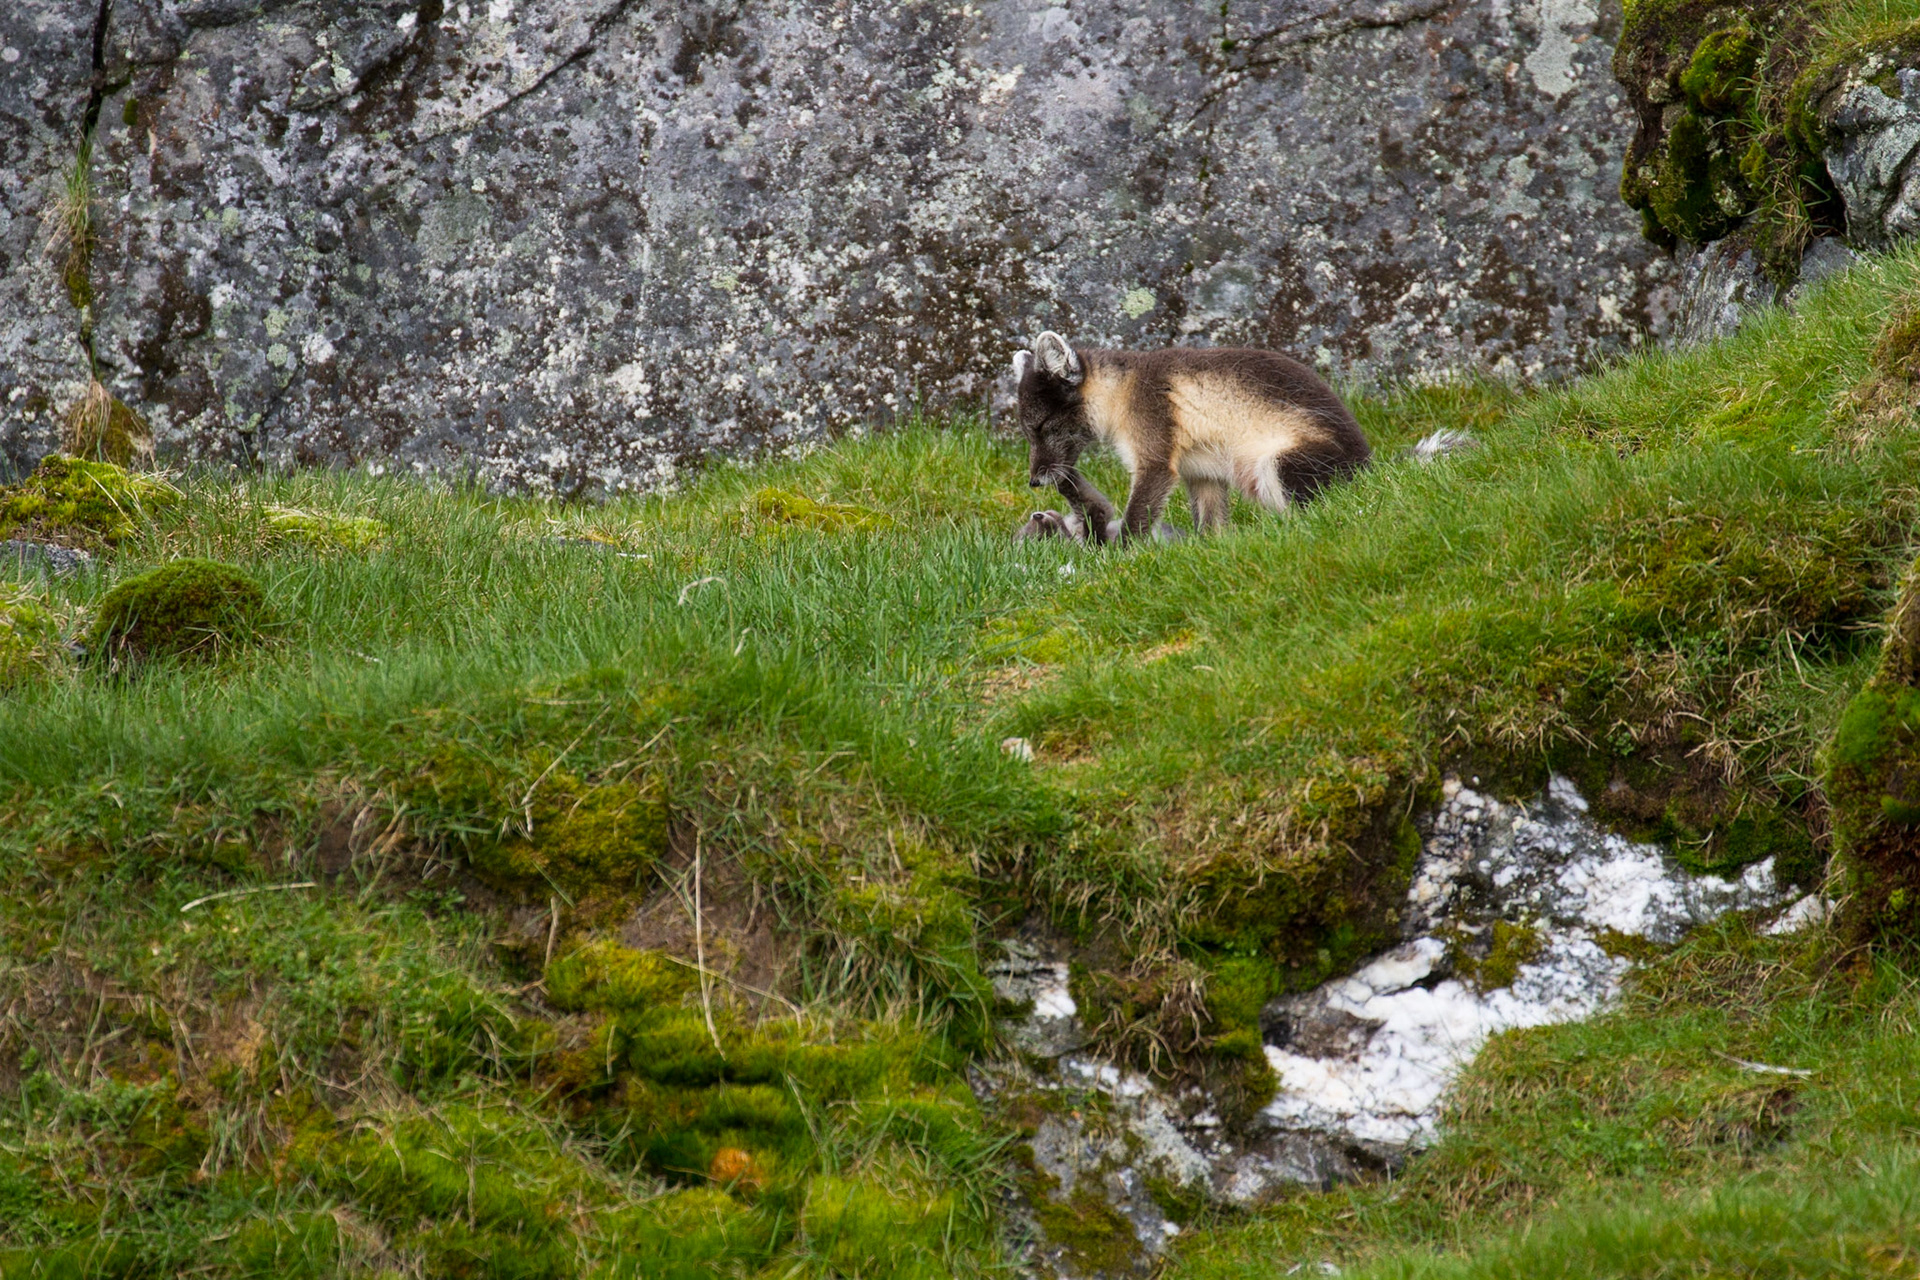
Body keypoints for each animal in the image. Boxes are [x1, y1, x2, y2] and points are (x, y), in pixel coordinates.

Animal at [1011, 331, 1471, 544]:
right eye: (1027, 431)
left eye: (1041, 426)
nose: (1034, 481)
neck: (1122, 392)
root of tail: (1369, 466)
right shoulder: (1201, 475)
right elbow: (1210, 526)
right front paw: (1206, 550)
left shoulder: (1155, 453)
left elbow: (1138, 515)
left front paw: (1121, 558)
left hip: (1280, 463)